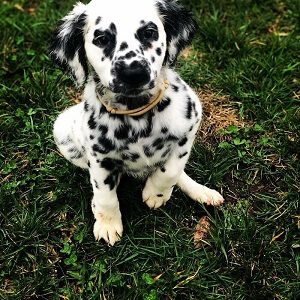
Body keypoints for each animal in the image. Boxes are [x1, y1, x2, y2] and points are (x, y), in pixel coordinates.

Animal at [49, 0, 223, 245]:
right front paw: (108, 223)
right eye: (102, 38)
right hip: (62, 129)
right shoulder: (99, 157)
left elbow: (171, 170)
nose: (133, 73)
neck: (137, 115)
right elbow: (104, 194)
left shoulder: (189, 127)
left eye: (149, 32)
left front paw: (156, 194)